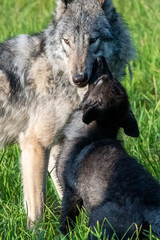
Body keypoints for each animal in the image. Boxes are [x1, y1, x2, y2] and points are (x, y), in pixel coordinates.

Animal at [0, 0, 135, 227]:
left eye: (93, 40)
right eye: (67, 41)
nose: (79, 78)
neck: (57, 71)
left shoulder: (58, 146)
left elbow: (67, 190)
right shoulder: (35, 143)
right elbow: (37, 209)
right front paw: (37, 232)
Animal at [56, 57, 160, 239]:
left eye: (101, 81)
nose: (100, 58)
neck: (97, 133)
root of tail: (148, 205)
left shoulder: (70, 193)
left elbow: (66, 221)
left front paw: (62, 235)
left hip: (99, 223)